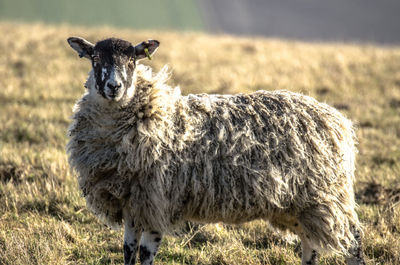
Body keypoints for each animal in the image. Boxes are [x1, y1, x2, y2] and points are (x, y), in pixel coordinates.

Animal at [65, 35, 366, 264]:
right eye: (95, 59)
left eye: (132, 60)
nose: (114, 87)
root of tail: (338, 120)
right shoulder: (133, 202)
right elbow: (129, 252)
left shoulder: (156, 201)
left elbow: (146, 253)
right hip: (299, 205)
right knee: (310, 246)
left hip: (326, 196)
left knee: (353, 242)